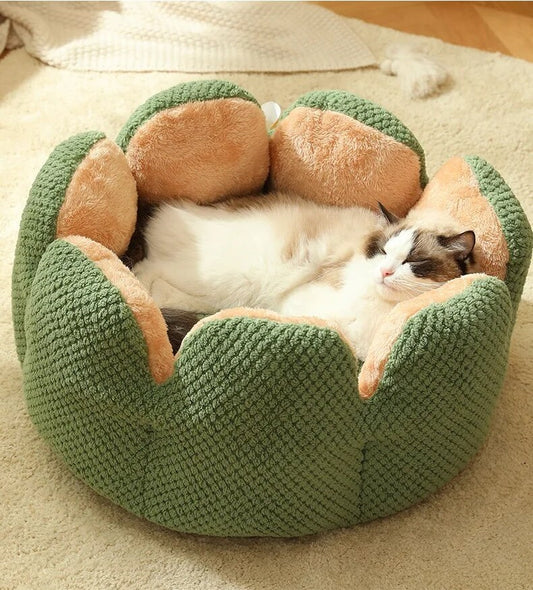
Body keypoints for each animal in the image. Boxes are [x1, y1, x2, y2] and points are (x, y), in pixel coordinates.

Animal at [131, 195, 476, 360]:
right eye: (382, 251)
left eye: (414, 261)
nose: (385, 271)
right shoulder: (297, 305)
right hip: (233, 280)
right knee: (144, 276)